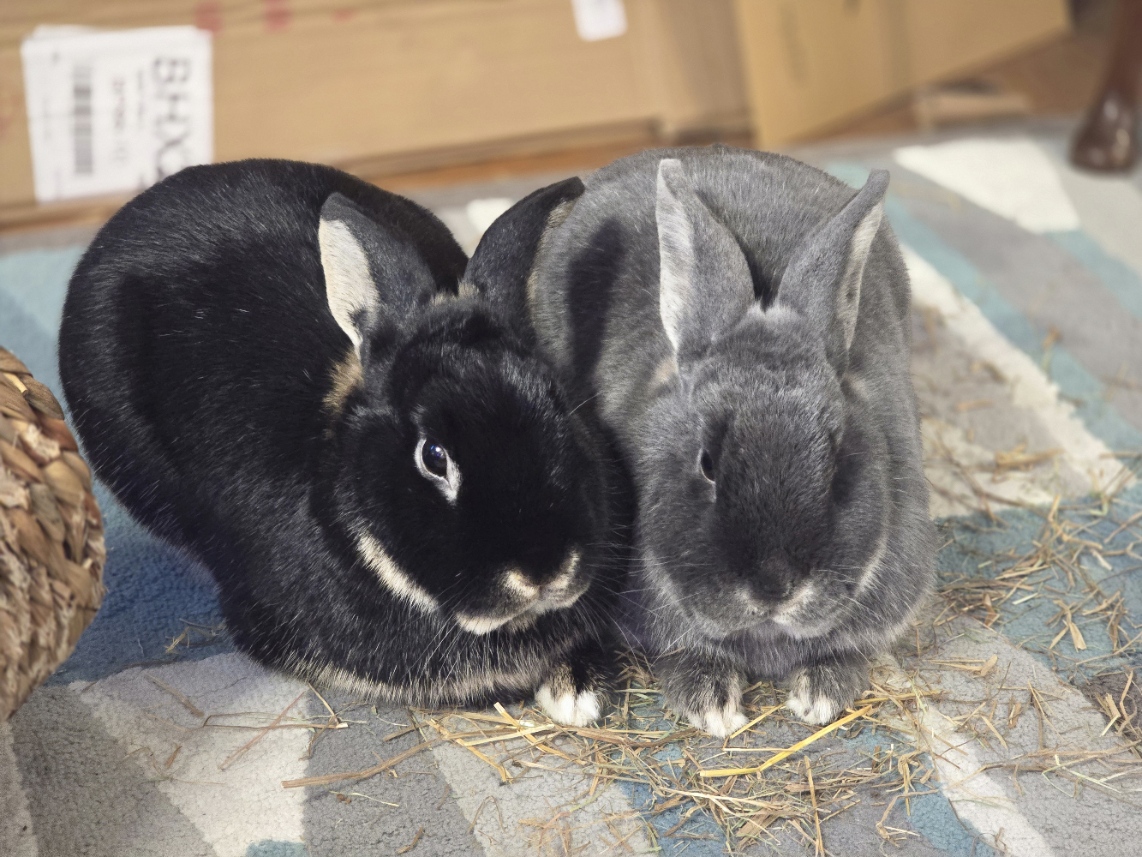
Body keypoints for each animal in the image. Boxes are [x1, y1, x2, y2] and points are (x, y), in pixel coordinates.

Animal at [528, 146, 935, 734]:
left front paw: (819, 695)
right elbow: (688, 654)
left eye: (837, 463)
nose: (774, 587)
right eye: (707, 464)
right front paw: (712, 705)